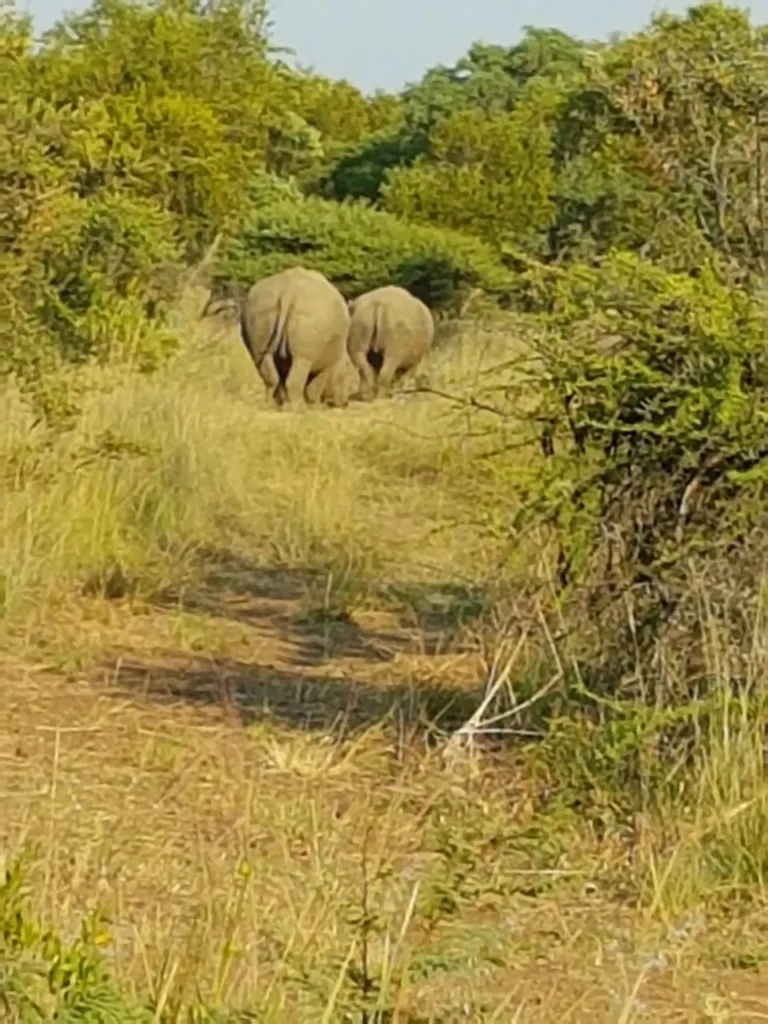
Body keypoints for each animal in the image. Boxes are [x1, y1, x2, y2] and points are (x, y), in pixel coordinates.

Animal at [239, 266, 352, 407]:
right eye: (346, 377)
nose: (345, 403)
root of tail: (288, 290)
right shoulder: (330, 360)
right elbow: (317, 382)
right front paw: (314, 405)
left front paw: (281, 401)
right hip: (312, 312)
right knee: (302, 360)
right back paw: (299, 407)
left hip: (259, 307)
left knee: (262, 356)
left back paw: (268, 404)